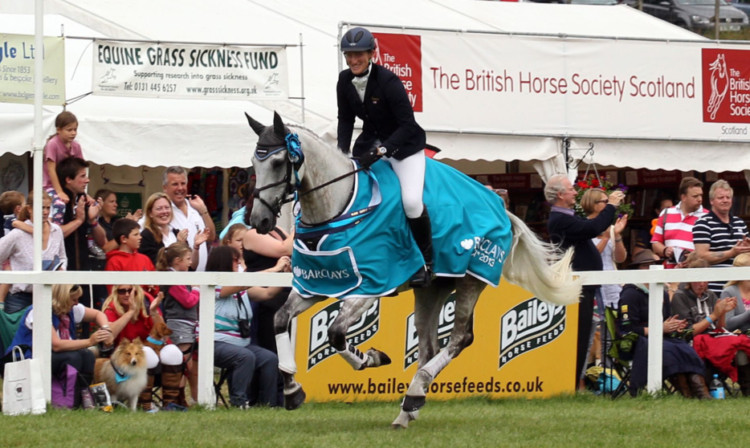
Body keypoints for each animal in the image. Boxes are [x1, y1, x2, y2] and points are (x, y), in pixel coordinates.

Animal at [247, 111, 580, 428]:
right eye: (253, 162)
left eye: (278, 162)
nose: (259, 221)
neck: (341, 207)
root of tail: (499, 204)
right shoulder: (317, 285)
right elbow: (279, 319)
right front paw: (292, 389)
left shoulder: (370, 287)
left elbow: (337, 333)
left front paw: (371, 357)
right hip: (432, 289)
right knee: (429, 346)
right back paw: (407, 410)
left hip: (471, 280)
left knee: (459, 338)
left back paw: (414, 396)